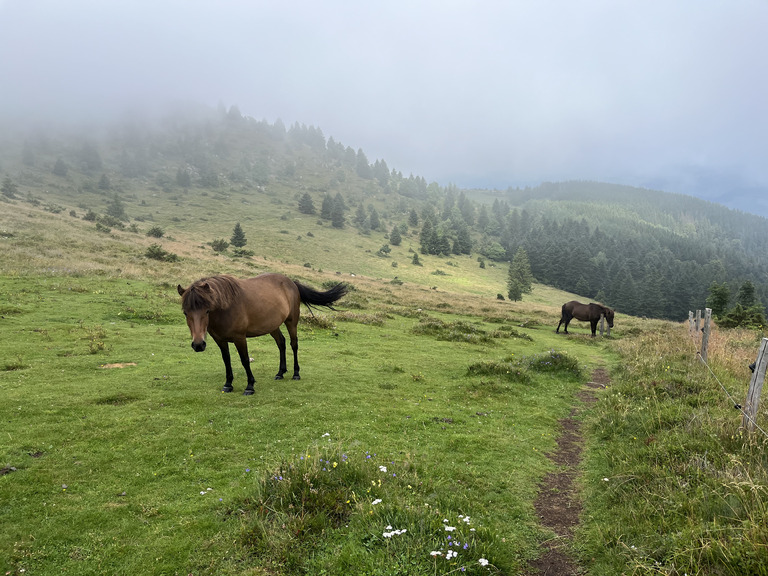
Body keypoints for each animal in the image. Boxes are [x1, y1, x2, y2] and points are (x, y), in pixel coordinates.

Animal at [177, 272, 348, 394]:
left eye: (207, 310)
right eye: (185, 312)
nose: (198, 345)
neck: (225, 307)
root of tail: (292, 282)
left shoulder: (240, 338)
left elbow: (245, 360)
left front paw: (250, 386)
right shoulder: (220, 340)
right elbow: (226, 360)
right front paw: (228, 384)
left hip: (291, 322)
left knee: (294, 344)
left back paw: (296, 374)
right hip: (272, 326)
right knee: (281, 343)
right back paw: (280, 372)